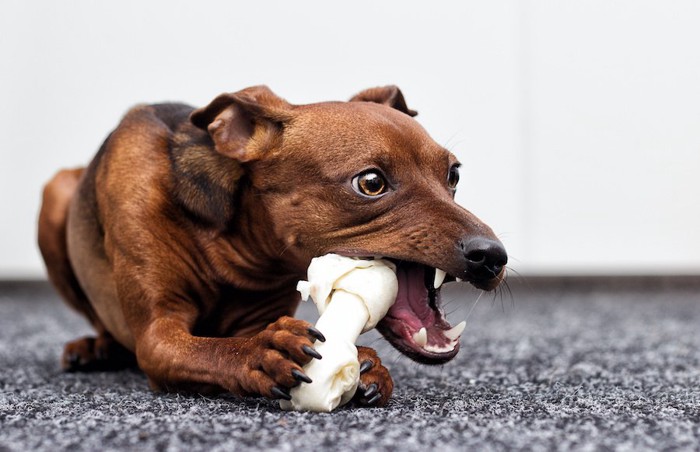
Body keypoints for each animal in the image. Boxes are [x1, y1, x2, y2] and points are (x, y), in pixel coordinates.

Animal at [38, 85, 506, 406]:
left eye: (454, 175)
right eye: (371, 182)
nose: (492, 256)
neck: (233, 249)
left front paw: (368, 365)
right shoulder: (158, 335)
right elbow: (204, 349)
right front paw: (260, 354)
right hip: (55, 195)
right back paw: (94, 346)